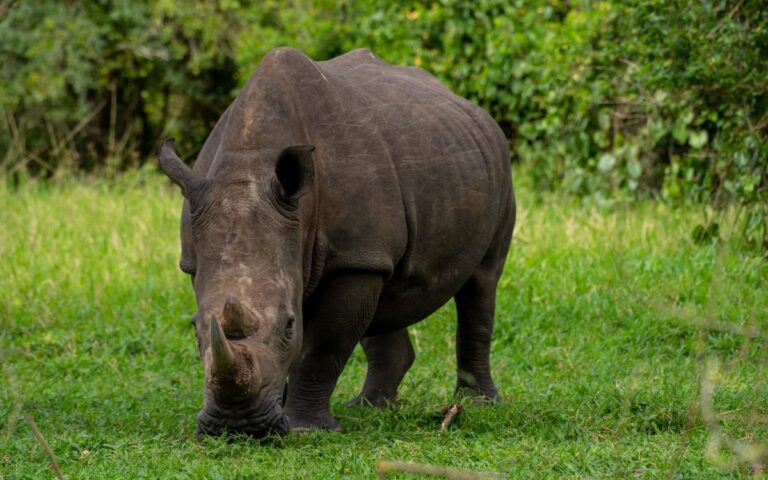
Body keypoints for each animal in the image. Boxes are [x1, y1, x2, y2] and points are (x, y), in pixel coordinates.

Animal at [158, 47, 515, 437]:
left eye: (289, 325)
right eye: (193, 327)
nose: (237, 426)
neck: (248, 169)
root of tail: (471, 108)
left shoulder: (352, 256)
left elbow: (322, 346)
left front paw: (307, 428)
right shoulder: (197, 259)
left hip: (499, 167)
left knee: (482, 282)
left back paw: (478, 403)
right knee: (387, 292)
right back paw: (371, 406)